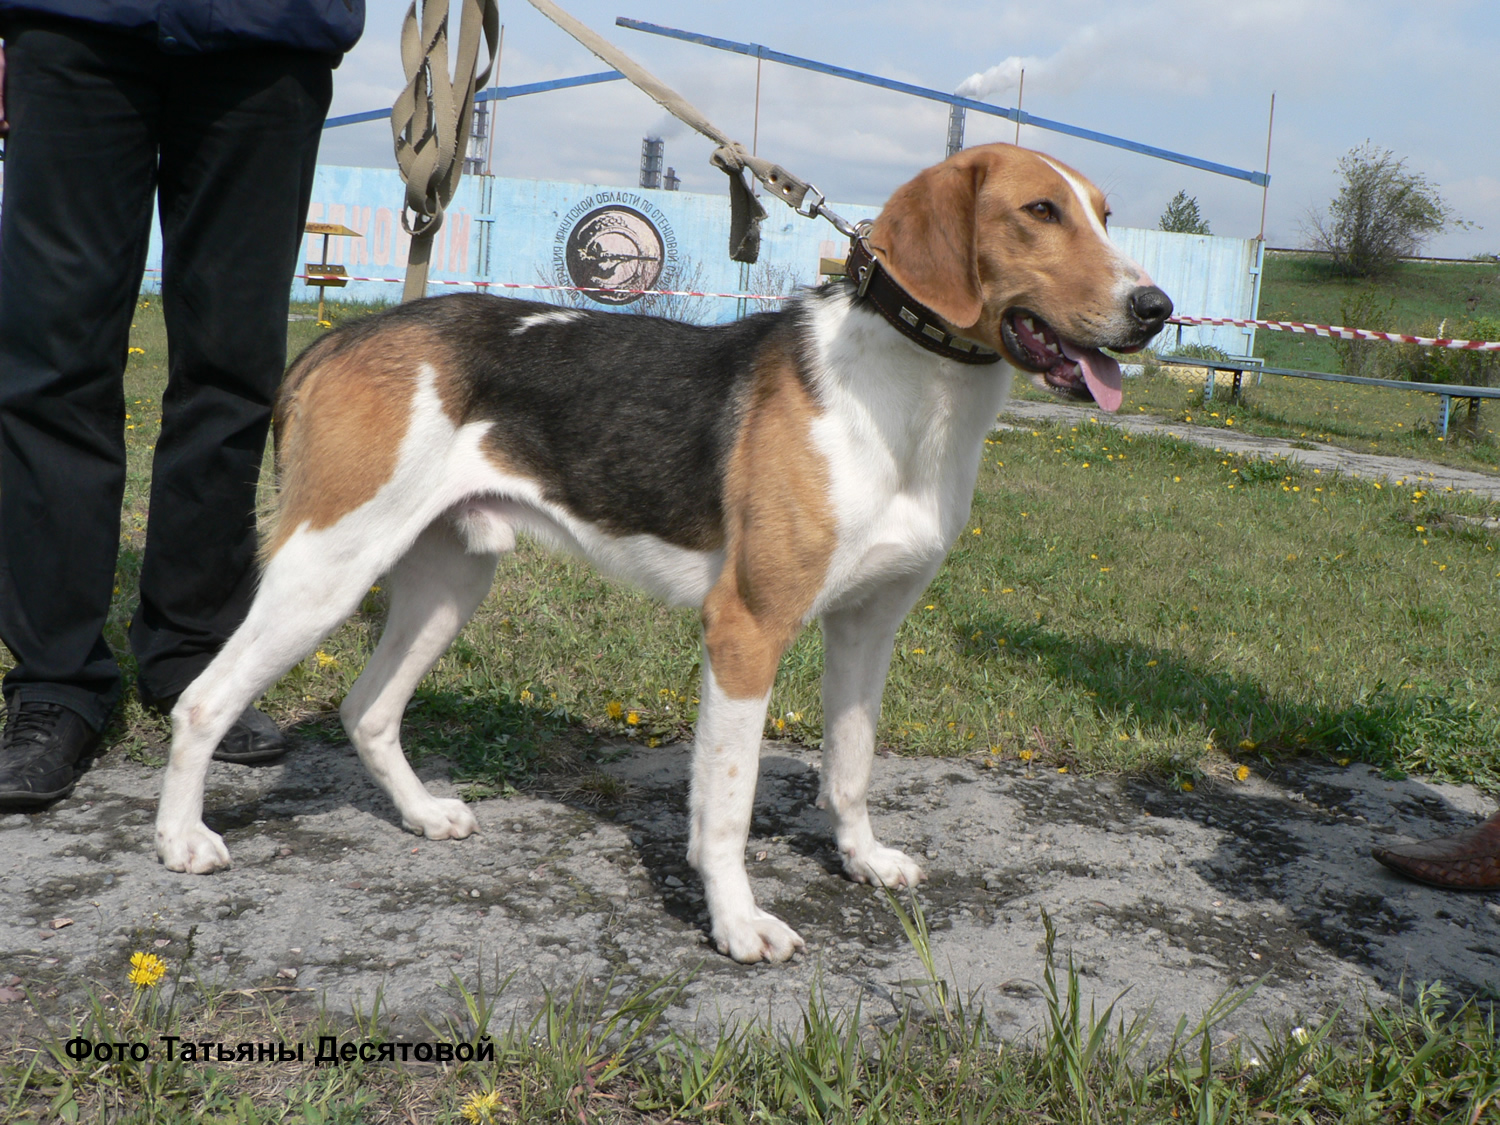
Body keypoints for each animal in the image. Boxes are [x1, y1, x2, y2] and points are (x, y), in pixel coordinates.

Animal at [161, 145, 1170, 966]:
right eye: (1040, 211)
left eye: (1104, 213)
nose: (1157, 308)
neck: (912, 396)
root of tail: (341, 336)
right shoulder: (745, 629)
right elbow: (725, 806)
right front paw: (736, 922)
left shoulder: (866, 628)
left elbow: (849, 768)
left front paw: (862, 859)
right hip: (326, 567)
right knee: (201, 701)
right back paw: (180, 842)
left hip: (449, 576)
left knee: (367, 709)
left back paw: (420, 814)